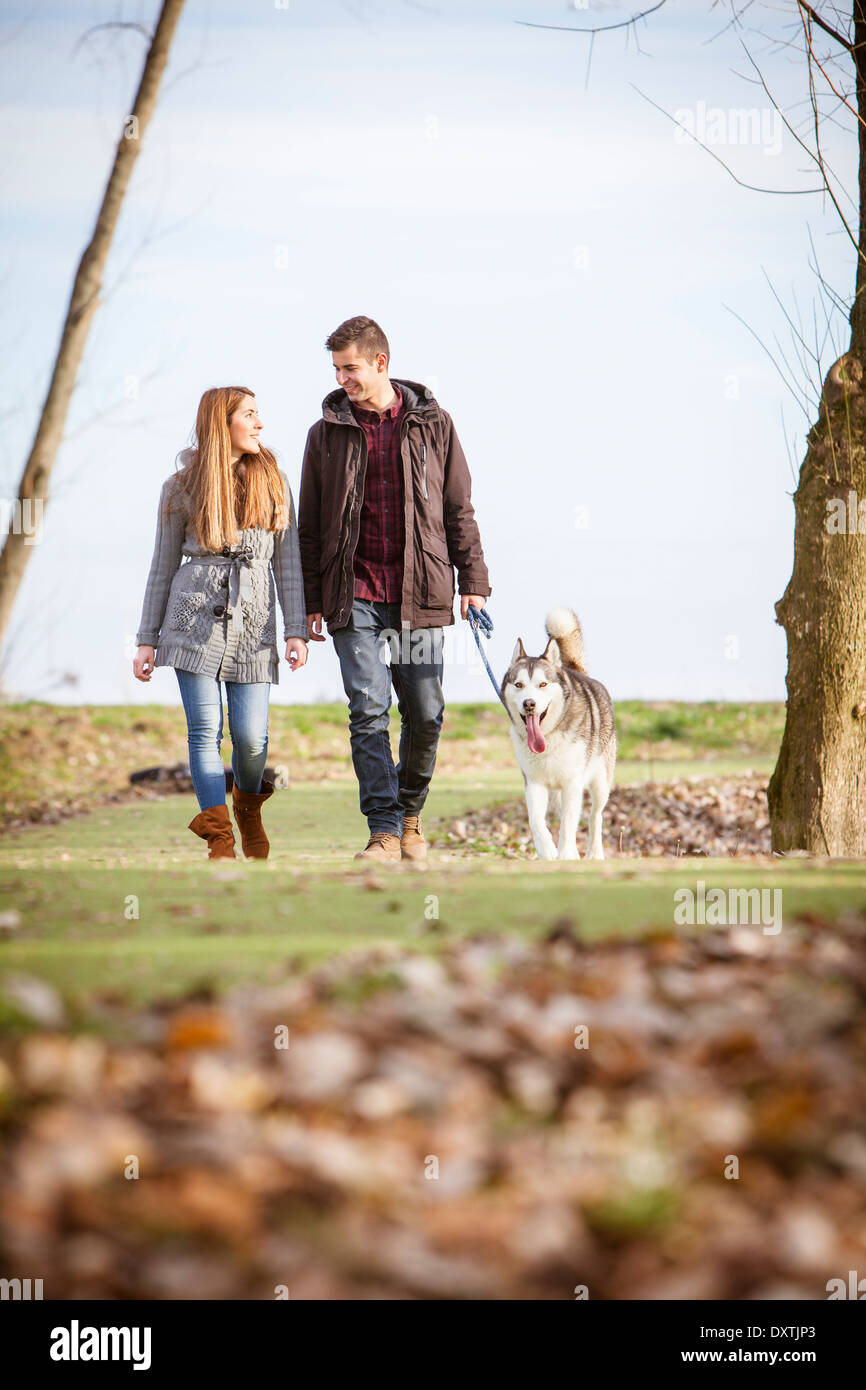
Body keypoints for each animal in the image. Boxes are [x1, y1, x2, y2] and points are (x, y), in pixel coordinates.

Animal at [500, 608, 617, 856]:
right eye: (519, 685)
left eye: (543, 684)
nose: (529, 704)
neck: (549, 736)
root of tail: (573, 670)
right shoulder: (534, 783)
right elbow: (536, 821)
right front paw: (548, 852)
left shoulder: (572, 782)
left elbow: (569, 822)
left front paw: (566, 854)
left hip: (601, 783)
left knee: (595, 816)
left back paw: (594, 852)